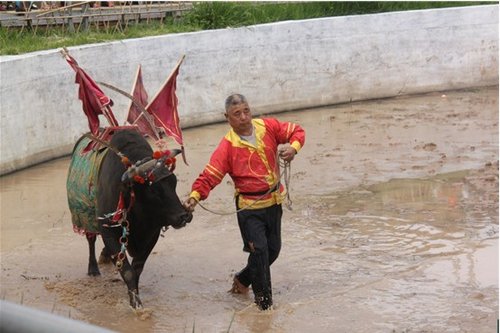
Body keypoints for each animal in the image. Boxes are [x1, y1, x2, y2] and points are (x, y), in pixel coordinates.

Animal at [66, 130, 191, 308]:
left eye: (173, 182)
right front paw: (136, 304)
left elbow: (136, 269)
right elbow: (127, 271)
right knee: (91, 241)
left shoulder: (152, 234)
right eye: (154, 190)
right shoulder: (108, 231)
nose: (184, 216)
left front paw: (134, 296)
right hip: (87, 221)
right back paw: (93, 269)